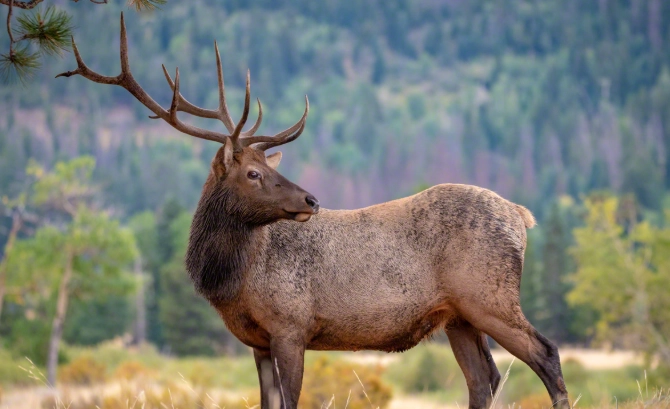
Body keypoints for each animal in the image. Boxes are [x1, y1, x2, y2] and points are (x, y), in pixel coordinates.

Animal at [57, 13, 570, 409]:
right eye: (254, 173)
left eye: (269, 166)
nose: (310, 200)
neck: (234, 280)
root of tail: (521, 215)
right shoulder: (257, 342)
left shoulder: (291, 326)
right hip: (458, 316)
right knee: (485, 379)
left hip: (489, 296)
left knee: (546, 353)